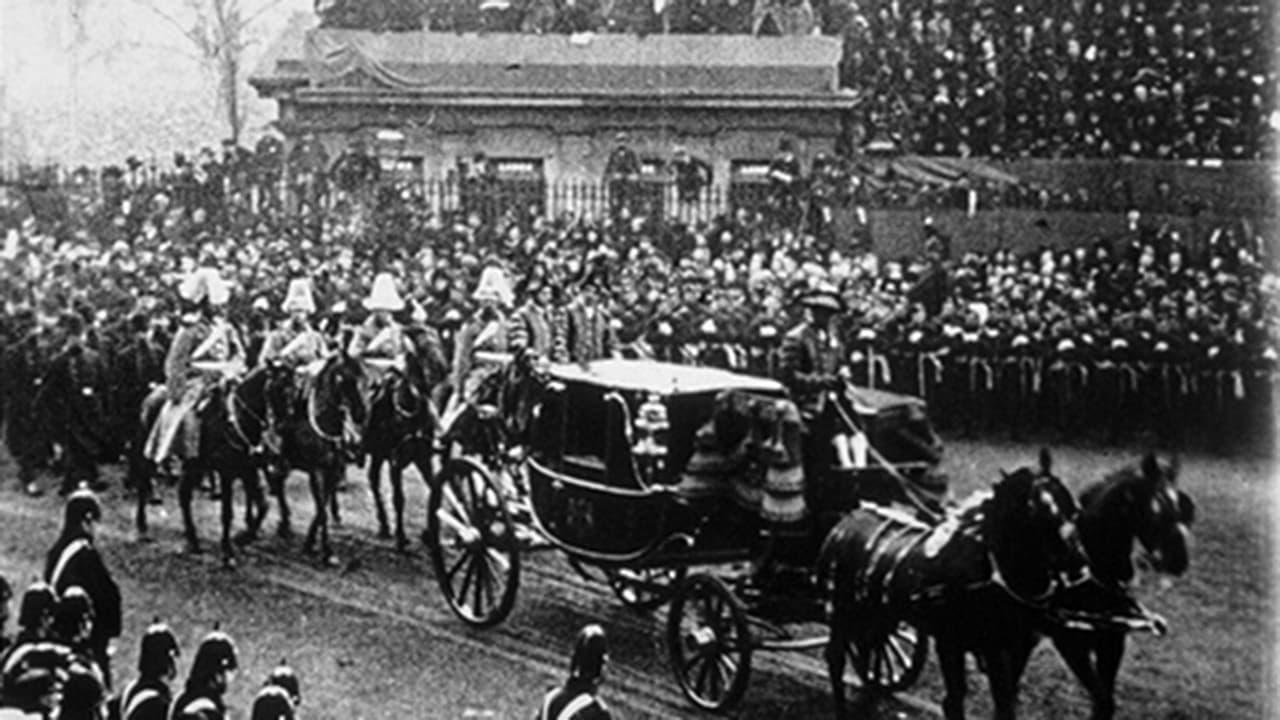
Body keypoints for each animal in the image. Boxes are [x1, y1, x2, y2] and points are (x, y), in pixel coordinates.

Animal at [273, 351, 368, 563]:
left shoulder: (332, 471)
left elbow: (321, 507)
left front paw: (310, 543)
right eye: (342, 379)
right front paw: (327, 551)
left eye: (361, 378)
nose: (360, 414)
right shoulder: (316, 472)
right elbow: (321, 511)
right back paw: (284, 523)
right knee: (278, 483)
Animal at [366, 327, 450, 550]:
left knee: (373, 479)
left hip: (378, 454)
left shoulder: (423, 458)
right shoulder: (395, 461)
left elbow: (434, 490)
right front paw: (401, 537)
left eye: (439, 342)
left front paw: (429, 533)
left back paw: (384, 525)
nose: (444, 370)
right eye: (424, 346)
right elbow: (399, 498)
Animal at [819, 448, 1090, 717]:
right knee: (835, 658)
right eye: (1034, 511)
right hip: (843, 612)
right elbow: (955, 701)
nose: (1078, 561)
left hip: (874, 615)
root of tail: (850, 517)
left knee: (866, 652)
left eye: (1072, 508)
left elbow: (1005, 704)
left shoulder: (1016, 648)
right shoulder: (951, 643)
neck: (990, 574)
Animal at [1024, 450, 1192, 712]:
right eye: (1155, 509)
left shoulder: (1112, 643)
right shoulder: (1071, 645)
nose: (1178, 560)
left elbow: (1105, 702)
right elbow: (1102, 701)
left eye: (1182, 508)